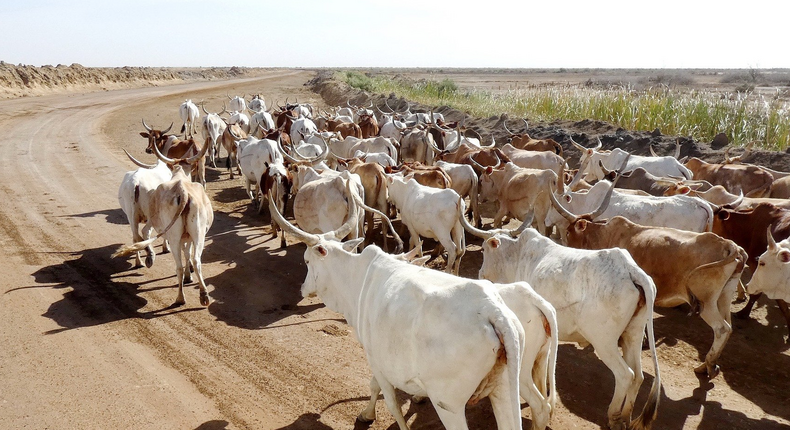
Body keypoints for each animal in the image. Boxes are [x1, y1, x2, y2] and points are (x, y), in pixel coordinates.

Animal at [268, 201, 556, 430]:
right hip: (505, 387)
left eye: (307, 261)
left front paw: (369, 415)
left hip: (449, 403)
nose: (303, 288)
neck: (358, 276)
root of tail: (493, 312)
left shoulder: (376, 358)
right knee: (536, 409)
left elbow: (388, 400)